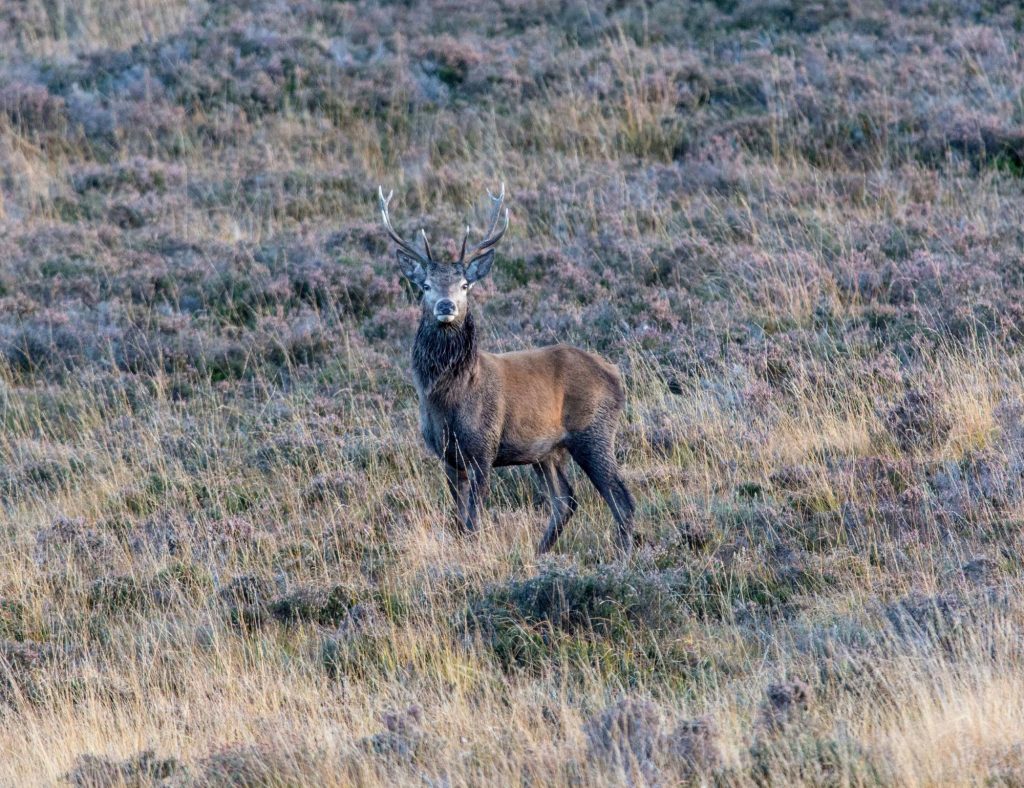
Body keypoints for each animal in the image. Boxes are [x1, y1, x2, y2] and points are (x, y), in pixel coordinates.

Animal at [378, 184, 635, 555]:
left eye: (465, 285)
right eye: (425, 285)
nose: (446, 305)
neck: (448, 399)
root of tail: (615, 375)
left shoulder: (483, 446)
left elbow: (473, 519)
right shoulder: (447, 455)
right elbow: (459, 520)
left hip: (594, 431)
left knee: (620, 498)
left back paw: (622, 553)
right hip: (548, 451)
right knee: (566, 501)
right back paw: (540, 553)